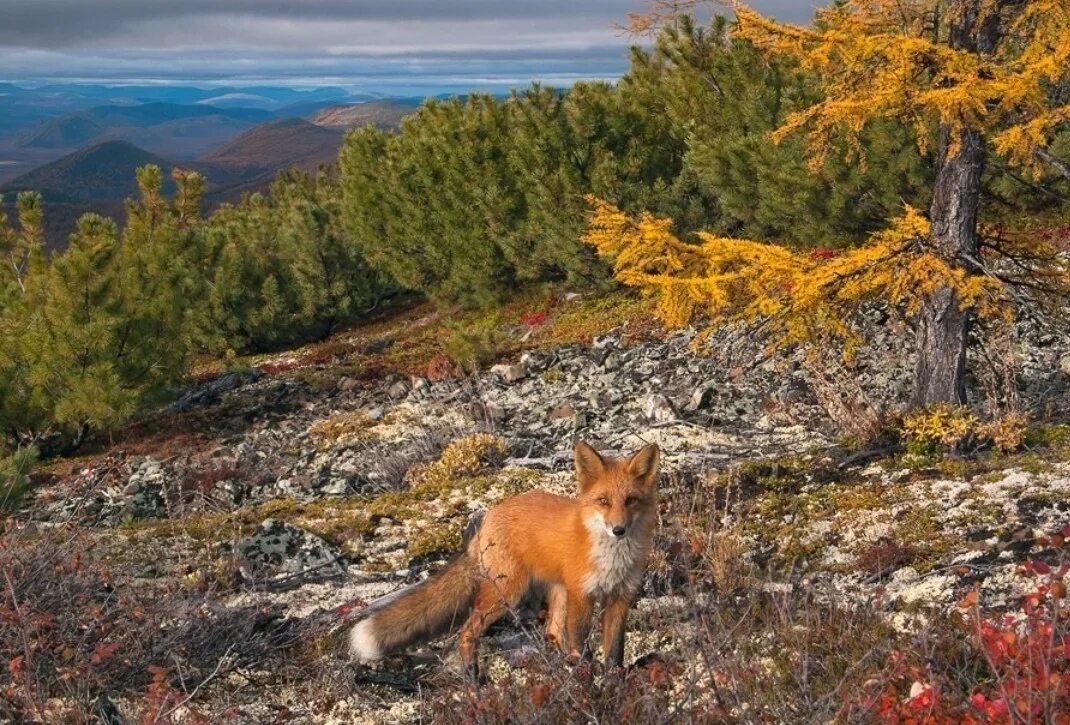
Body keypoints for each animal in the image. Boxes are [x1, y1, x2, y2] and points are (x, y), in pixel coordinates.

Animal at [348, 442, 659, 675]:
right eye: (603, 501)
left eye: (631, 500)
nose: (618, 530)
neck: (613, 560)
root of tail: (488, 517)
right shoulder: (581, 596)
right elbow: (582, 647)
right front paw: (589, 682)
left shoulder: (620, 597)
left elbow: (615, 652)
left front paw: (614, 683)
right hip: (507, 593)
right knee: (467, 631)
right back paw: (475, 679)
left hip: (554, 592)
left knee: (552, 631)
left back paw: (558, 669)